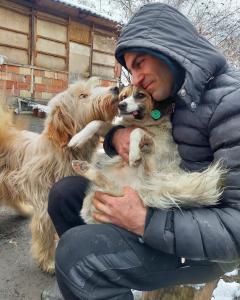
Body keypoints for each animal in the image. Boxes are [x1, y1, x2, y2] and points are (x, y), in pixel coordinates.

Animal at [0, 78, 119, 274]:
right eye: (82, 95)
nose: (116, 88)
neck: (62, 151)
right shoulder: (44, 202)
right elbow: (45, 232)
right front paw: (48, 261)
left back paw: (24, 210)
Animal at [70, 84, 225, 225]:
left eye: (140, 95)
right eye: (123, 96)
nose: (120, 105)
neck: (144, 123)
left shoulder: (160, 149)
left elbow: (135, 131)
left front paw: (133, 154)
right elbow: (96, 122)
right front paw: (77, 139)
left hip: (156, 173)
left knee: (146, 169)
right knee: (109, 184)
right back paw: (83, 168)